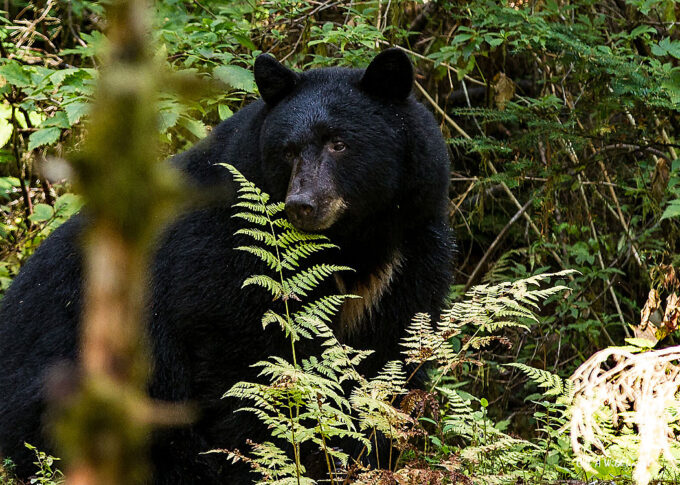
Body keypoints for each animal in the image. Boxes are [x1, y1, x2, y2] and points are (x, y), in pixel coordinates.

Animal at [0, 48, 454, 483]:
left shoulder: (408, 252)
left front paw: (374, 456)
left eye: (339, 143)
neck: (352, 243)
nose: (303, 204)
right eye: (287, 150)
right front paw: (262, 463)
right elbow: (242, 365)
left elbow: (390, 356)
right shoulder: (224, 257)